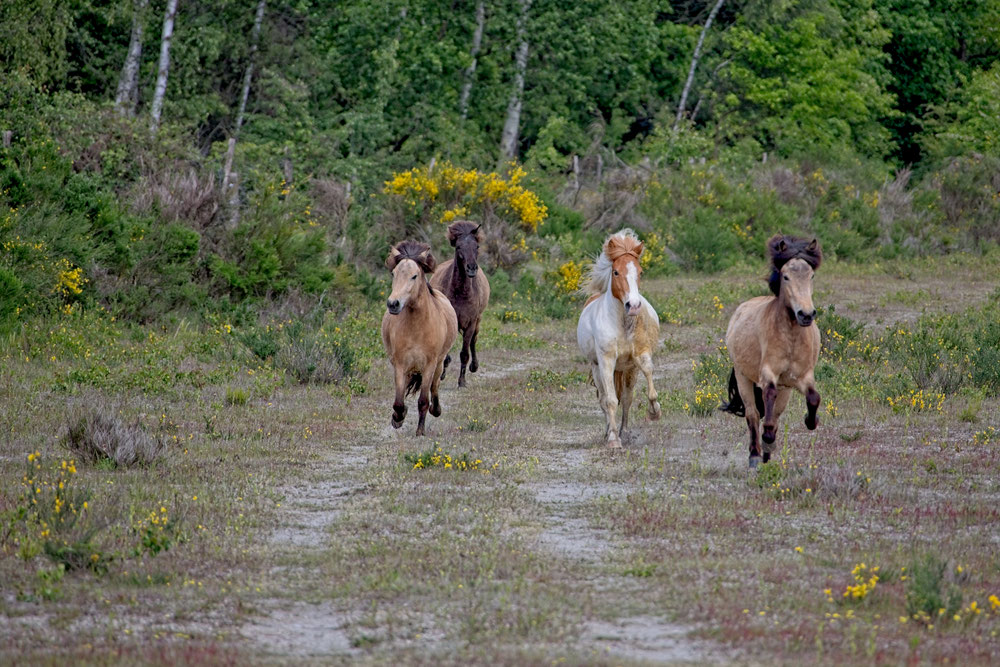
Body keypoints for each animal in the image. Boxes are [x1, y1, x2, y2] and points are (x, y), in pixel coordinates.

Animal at [381, 241, 458, 436]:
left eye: (414, 276)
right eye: (393, 273)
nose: (393, 304)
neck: (417, 327)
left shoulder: (429, 365)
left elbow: (423, 400)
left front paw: (420, 431)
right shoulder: (400, 364)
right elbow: (398, 402)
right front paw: (397, 418)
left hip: (439, 364)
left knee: (434, 387)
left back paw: (436, 410)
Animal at [430, 220, 491, 387]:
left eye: (476, 246)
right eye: (458, 247)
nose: (471, 268)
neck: (461, 293)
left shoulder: (471, 323)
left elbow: (464, 353)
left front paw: (462, 381)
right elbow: (446, 354)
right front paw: (442, 374)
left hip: (478, 321)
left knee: (473, 342)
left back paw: (474, 366)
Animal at [577, 229, 661, 448]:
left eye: (640, 272)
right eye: (615, 272)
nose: (633, 306)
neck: (622, 324)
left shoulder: (641, 355)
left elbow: (648, 378)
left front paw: (654, 412)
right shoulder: (606, 361)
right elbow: (610, 401)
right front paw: (613, 439)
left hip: (628, 370)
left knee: (627, 398)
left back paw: (625, 431)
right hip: (597, 368)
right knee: (605, 399)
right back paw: (610, 432)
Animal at [720, 235, 823, 468]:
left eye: (811, 275)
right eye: (786, 276)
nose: (806, 314)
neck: (791, 338)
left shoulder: (801, 377)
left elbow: (814, 398)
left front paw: (810, 421)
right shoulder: (768, 373)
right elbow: (767, 396)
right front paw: (766, 438)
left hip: (786, 390)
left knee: (774, 415)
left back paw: (767, 453)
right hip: (743, 378)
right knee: (752, 414)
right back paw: (755, 455)